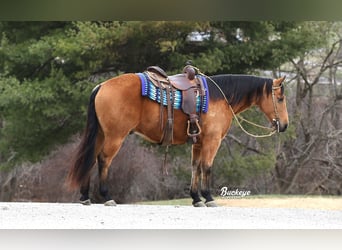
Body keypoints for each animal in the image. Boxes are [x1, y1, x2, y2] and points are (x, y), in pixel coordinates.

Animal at [67, 66, 288, 207]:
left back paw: (85, 196)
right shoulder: (212, 141)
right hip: (115, 136)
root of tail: (101, 86)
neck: (220, 97)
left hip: (101, 134)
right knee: (103, 160)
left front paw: (196, 198)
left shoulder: (198, 142)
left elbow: (195, 167)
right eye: (280, 98)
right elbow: (207, 167)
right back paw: (107, 197)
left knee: (90, 159)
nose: (284, 125)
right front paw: (208, 197)